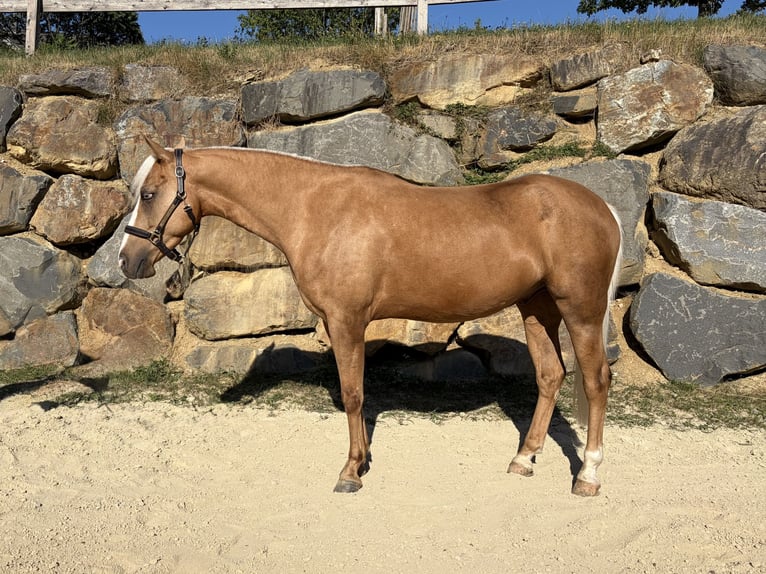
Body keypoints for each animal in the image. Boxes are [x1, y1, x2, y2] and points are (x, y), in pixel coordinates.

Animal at [119, 138, 622, 497]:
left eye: (149, 194)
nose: (127, 261)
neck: (315, 210)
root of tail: (604, 206)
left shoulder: (347, 321)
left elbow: (353, 394)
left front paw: (350, 471)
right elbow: (358, 394)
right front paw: (359, 462)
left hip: (580, 309)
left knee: (596, 380)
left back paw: (589, 476)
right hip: (537, 307)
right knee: (550, 375)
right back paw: (523, 459)